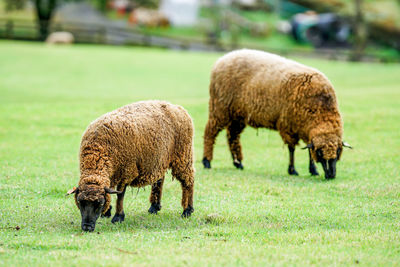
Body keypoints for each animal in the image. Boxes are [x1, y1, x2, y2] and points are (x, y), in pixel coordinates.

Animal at [67, 100, 195, 232]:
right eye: (79, 202)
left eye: (100, 203)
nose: (87, 227)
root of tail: (177, 107)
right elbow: (111, 190)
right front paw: (107, 212)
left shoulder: (126, 171)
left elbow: (120, 195)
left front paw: (118, 217)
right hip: (159, 160)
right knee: (159, 180)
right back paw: (154, 207)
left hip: (183, 155)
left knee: (188, 181)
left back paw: (187, 210)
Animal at [202, 49, 352, 180]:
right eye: (320, 153)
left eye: (338, 151)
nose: (331, 175)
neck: (320, 106)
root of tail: (222, 59)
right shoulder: (288, 126)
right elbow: (292, 149)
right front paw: (292, 170)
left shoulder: (305, 129)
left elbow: (309, 151)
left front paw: (313, 170)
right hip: (220, 107)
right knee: (210, 132)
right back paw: (207, 161)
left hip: (238, 115)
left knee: (232, 136)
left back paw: (238, 163)